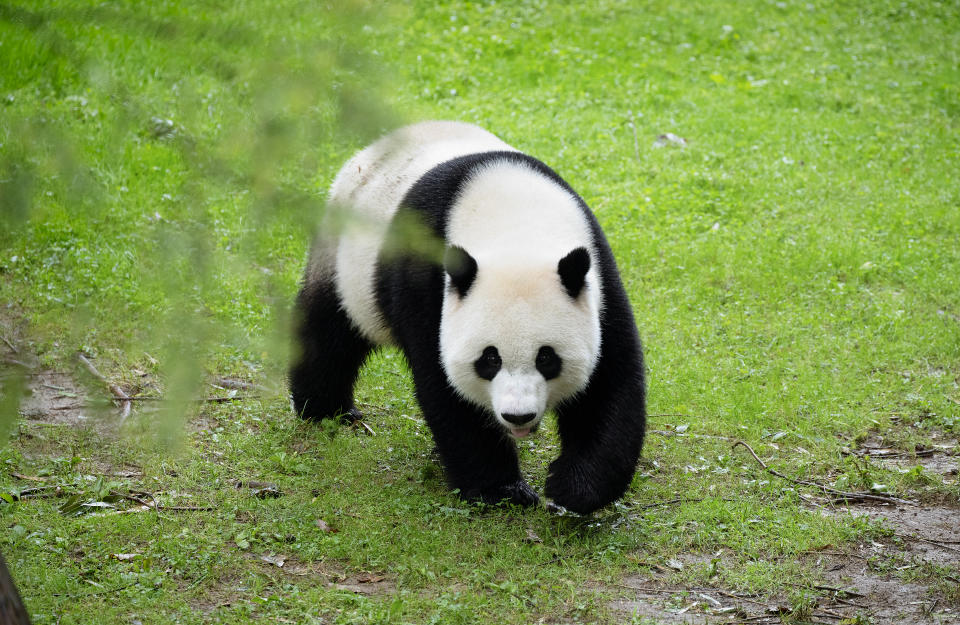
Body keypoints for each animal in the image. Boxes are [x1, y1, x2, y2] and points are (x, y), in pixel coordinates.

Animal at [288, 120, 648, 512]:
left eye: (547, 358)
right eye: (489, 359)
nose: (518, 416)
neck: (517, 226)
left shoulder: (597, 277)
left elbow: (609, 380)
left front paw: (573, 486)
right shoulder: (426, 280)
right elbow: (445, 387)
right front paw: (503, 489)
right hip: (345, 258)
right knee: (331, 330)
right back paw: (326, 408)